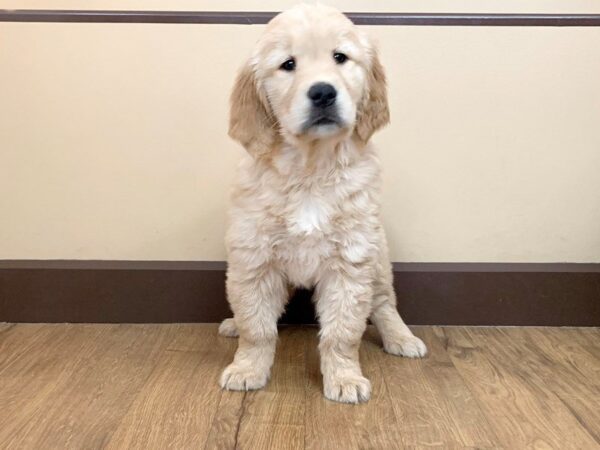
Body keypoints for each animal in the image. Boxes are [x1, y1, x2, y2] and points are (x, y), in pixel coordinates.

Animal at [218, 3, 424, 404]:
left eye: (340, 57)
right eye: (288, 64)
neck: (310, 169)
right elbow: (257, 326)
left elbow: (342, 333)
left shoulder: (351, 262)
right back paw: (233, 324)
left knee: (384, 303)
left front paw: (344, 378)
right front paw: (247, 368)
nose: (324, 93)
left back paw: (401, 338)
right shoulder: (254, 258)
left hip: (378, 260)